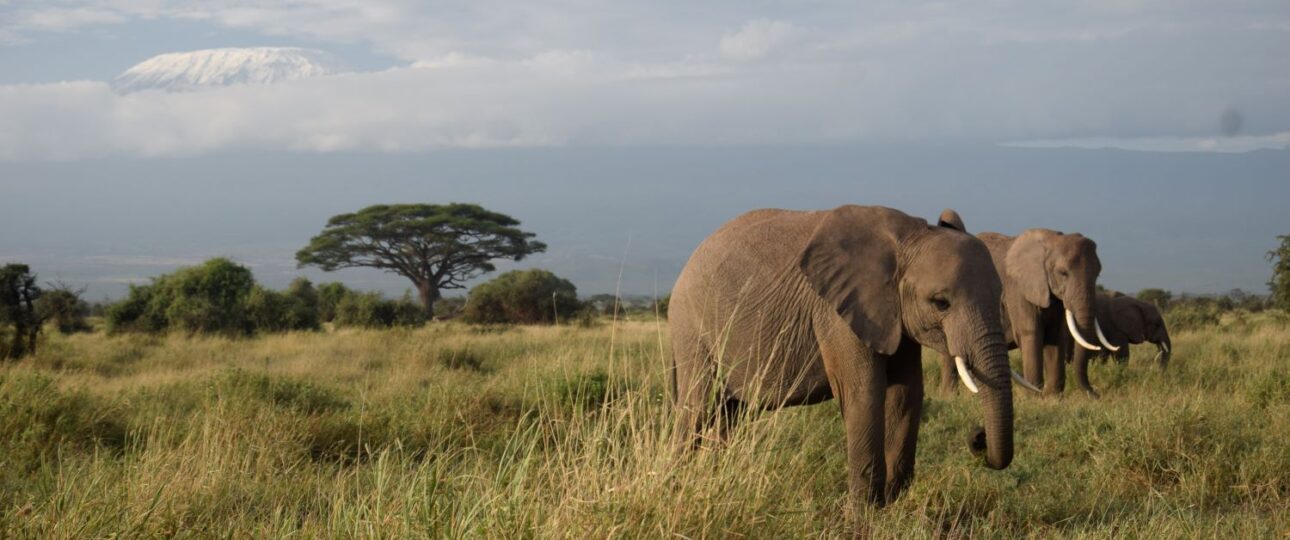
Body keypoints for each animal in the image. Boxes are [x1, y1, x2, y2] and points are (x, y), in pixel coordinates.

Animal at [670, 205, 1033, 512]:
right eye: (941, 302)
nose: (978, 438)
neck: (909, 238)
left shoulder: (894, 314)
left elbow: (906, 394)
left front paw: (889, 507)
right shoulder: (836, 312)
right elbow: (863, 394)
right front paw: (864, 516)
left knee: (731, 412)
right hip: (690, 326)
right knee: (696, 406)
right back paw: (680, 484)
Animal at [937, 228, 1117, 396]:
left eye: (1097, 274)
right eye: (1063, 273)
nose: (1096, 394)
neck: (1051, 241)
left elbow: (1055, 337)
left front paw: (1053, 398)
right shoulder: (1018, 290)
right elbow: (1031, 333)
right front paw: (1034, 397)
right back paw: (950, 395)